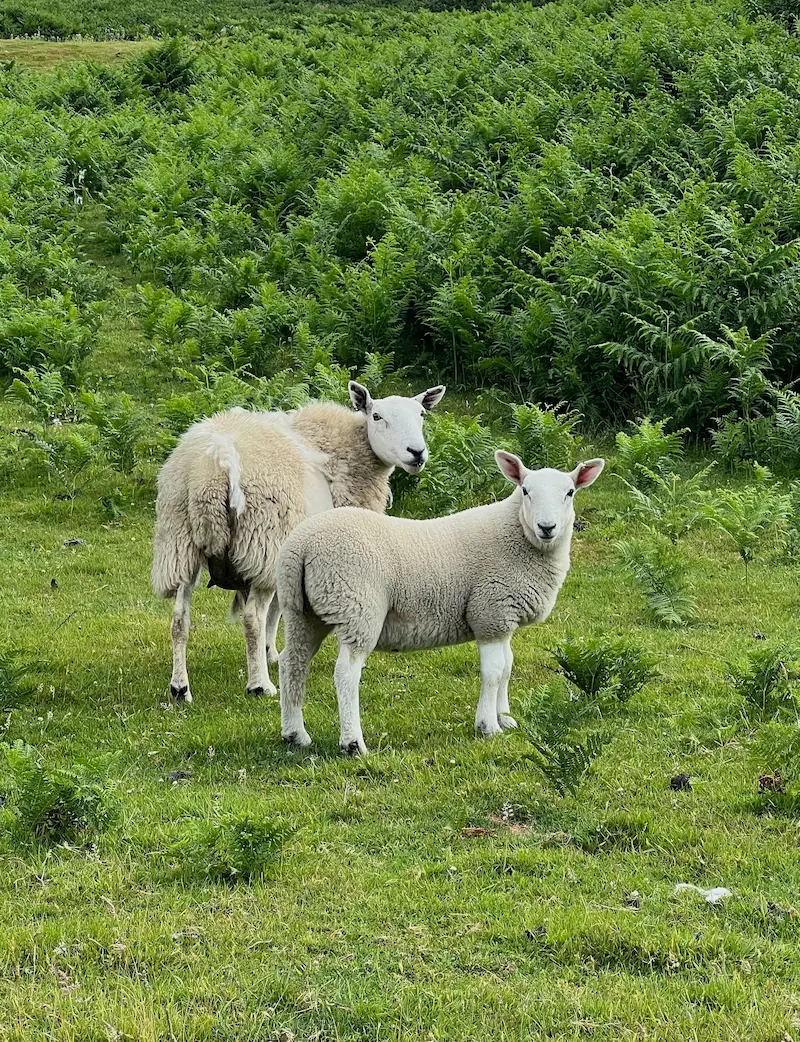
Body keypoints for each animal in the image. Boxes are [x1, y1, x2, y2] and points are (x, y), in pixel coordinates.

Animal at [152, 381, 446, 704]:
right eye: (377, 416)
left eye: (421, 414)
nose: (416, 452)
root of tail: (217, 465)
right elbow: (276, 612)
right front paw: (270, 657)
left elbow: (277, 609)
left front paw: (270, 653)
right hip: (264, 540)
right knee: (252, 617)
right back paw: (259, 685)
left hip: (181, 544)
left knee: (179, 618)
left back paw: (180, 687)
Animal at [276, 450, 604, 754]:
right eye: (525, 491)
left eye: (569, 492)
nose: (547, 527)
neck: (518, 536)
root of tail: (302, 545)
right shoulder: (490, 612)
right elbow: (494, 671)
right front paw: (488, 725)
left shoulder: (503, 617)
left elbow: (508, 666)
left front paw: (505, 717)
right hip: (357, 607)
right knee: (345, 674)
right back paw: (353, 743)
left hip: (303, 610)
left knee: (292, 661)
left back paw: (295, 734)